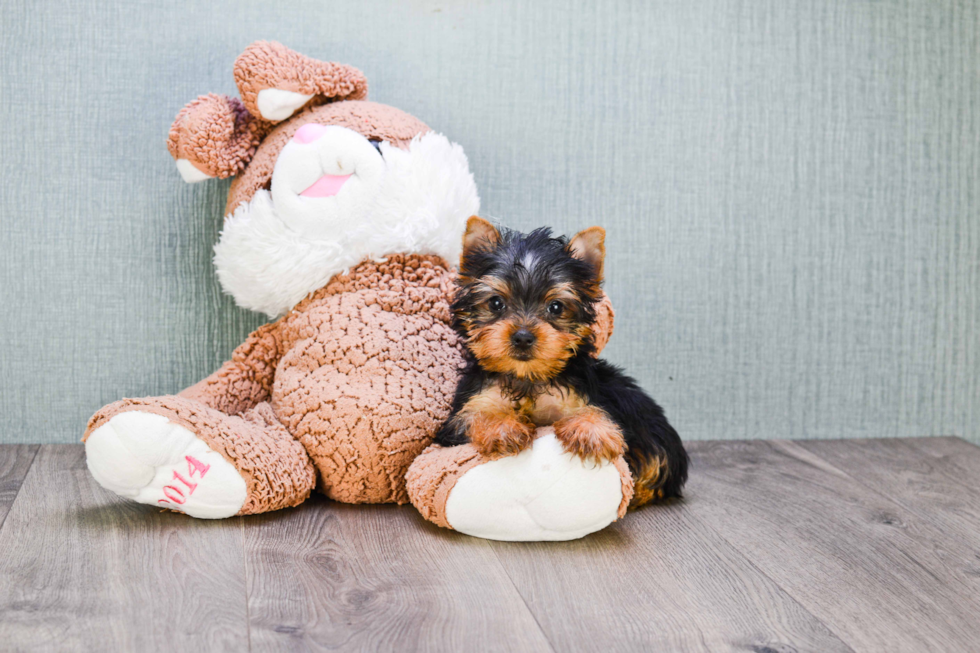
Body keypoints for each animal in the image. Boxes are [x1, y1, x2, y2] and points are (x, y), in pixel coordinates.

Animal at [436, 216, 688, 506]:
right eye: (496, 303)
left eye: (556, 307)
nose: (523, 337)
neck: (528, 377)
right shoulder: (465, 411)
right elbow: (477, 414)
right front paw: (503, 428)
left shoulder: (578, 395)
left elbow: (592, 410)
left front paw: (592, 431)